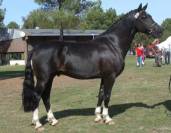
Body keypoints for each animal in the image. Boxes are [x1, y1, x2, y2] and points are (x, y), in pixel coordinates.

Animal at [22, 4, 162, 130]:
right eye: (144, 17)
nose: (160, 30)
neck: (113, 44)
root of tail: (36, 49)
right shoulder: (110, 76)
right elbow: (107, 96)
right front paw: (108, 118)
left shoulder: (103, 77)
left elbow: (100, 94)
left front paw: (98, 117)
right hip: (43, 79)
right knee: (37, 96)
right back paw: (38, 124)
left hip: (50, 78)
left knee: (46, 96)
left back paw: (53, 120)